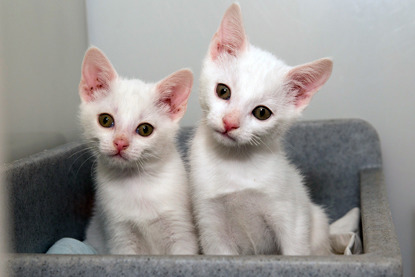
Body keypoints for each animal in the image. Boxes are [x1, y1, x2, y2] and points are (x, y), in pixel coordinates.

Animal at [80, 46, 200, 253]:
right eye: (105, 120)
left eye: (145, 129)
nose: (120, 142)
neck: (137, 182)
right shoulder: (119, 234)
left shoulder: (181, 230)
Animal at [191, 3, 334, 254]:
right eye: (223, 91)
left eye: (262, 113)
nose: (230, 122)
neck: (235, 163)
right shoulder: (210, 226)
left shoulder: (291, 216)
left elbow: (294, 248)